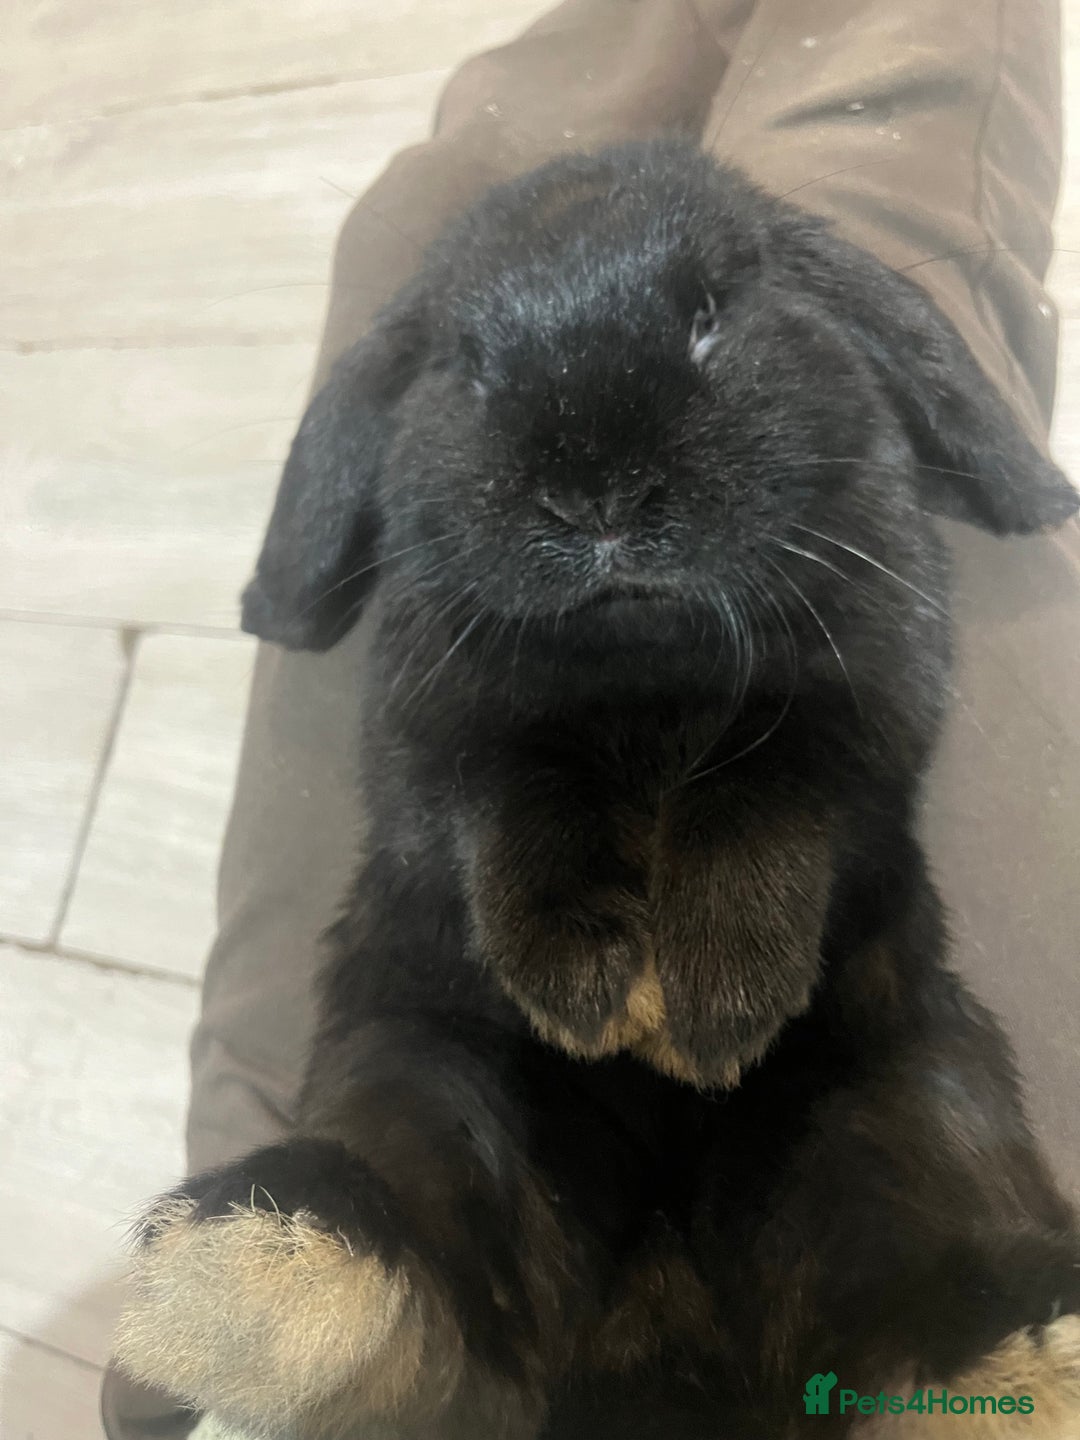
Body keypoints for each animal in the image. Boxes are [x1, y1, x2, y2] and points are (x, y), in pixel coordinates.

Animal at [115, 139, 1080, 1440]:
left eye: (714, 313)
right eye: (464, 360)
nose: (599, 498)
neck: (638, 646)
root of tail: (655, 1320)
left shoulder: (857, 705)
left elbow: (761, 801)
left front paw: (711, 1013)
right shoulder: (444, 737)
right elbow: (523, 802)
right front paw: (590, 999)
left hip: (912, 1090)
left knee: (904, 1301)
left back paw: (1030, 1345)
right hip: (417, 1067)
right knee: (429, 1301)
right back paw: (249, 1271)